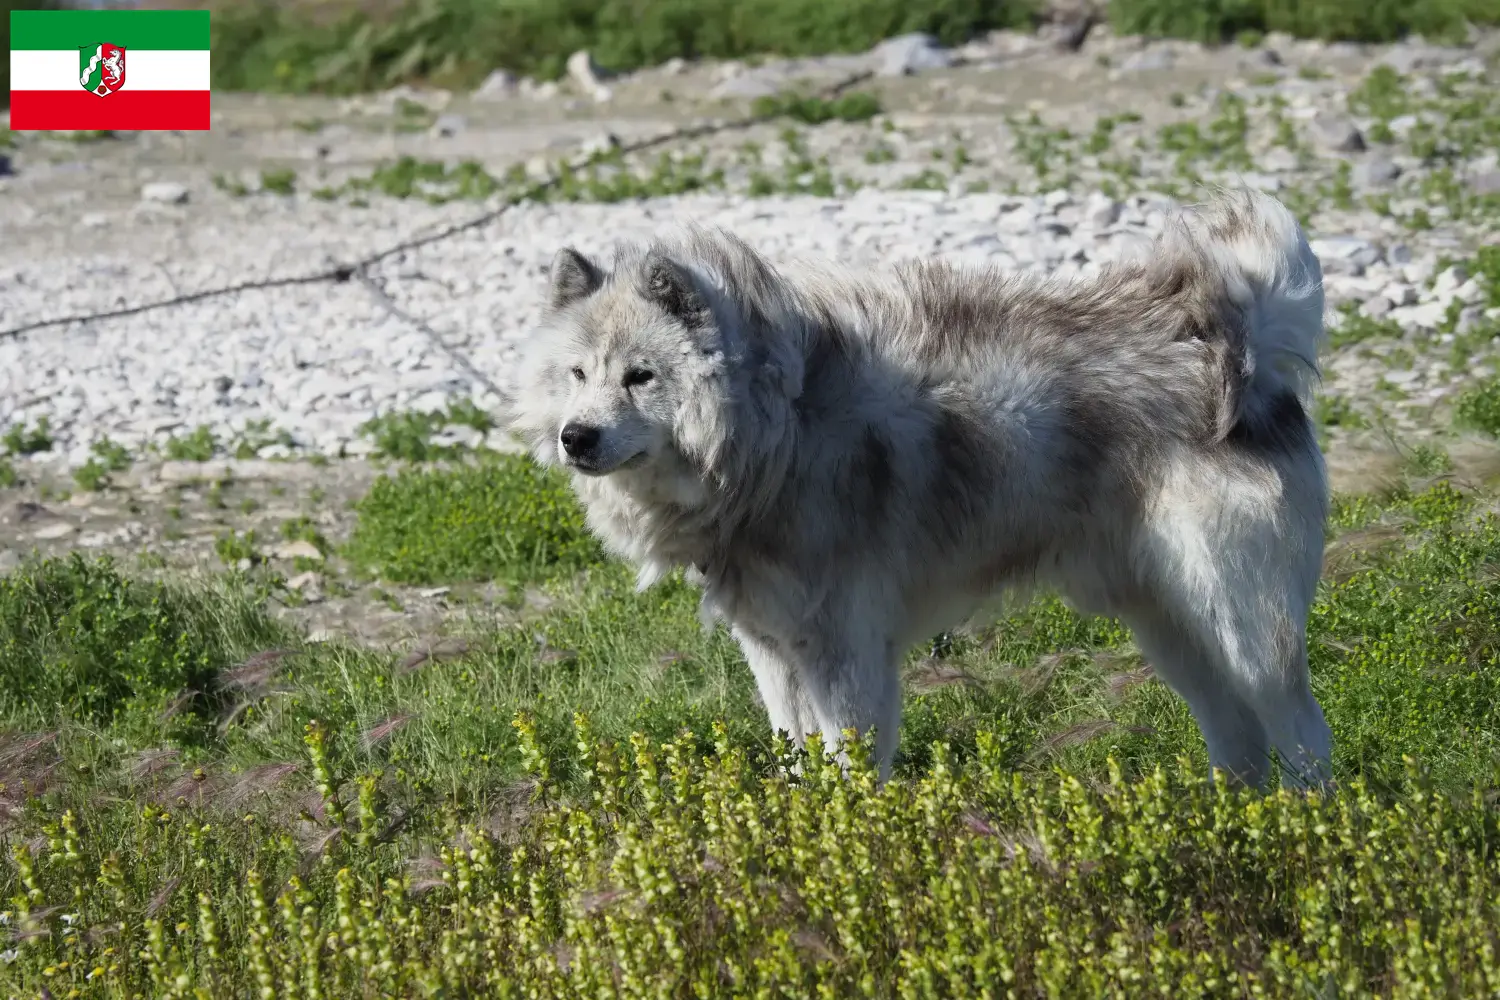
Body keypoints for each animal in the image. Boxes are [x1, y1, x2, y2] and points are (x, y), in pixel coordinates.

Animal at [507, 187, 1338, 791]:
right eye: (577, 375)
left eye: (640, 376)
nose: (575, 437)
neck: (777, 430)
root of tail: (1243, 348)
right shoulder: (775, 656)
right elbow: (796, 764)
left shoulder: (845, 657)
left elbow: (850, 774)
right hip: (1168, 623)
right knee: (1238, 736)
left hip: (1240, 624)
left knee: (1302, 735)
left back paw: (1310, 836)